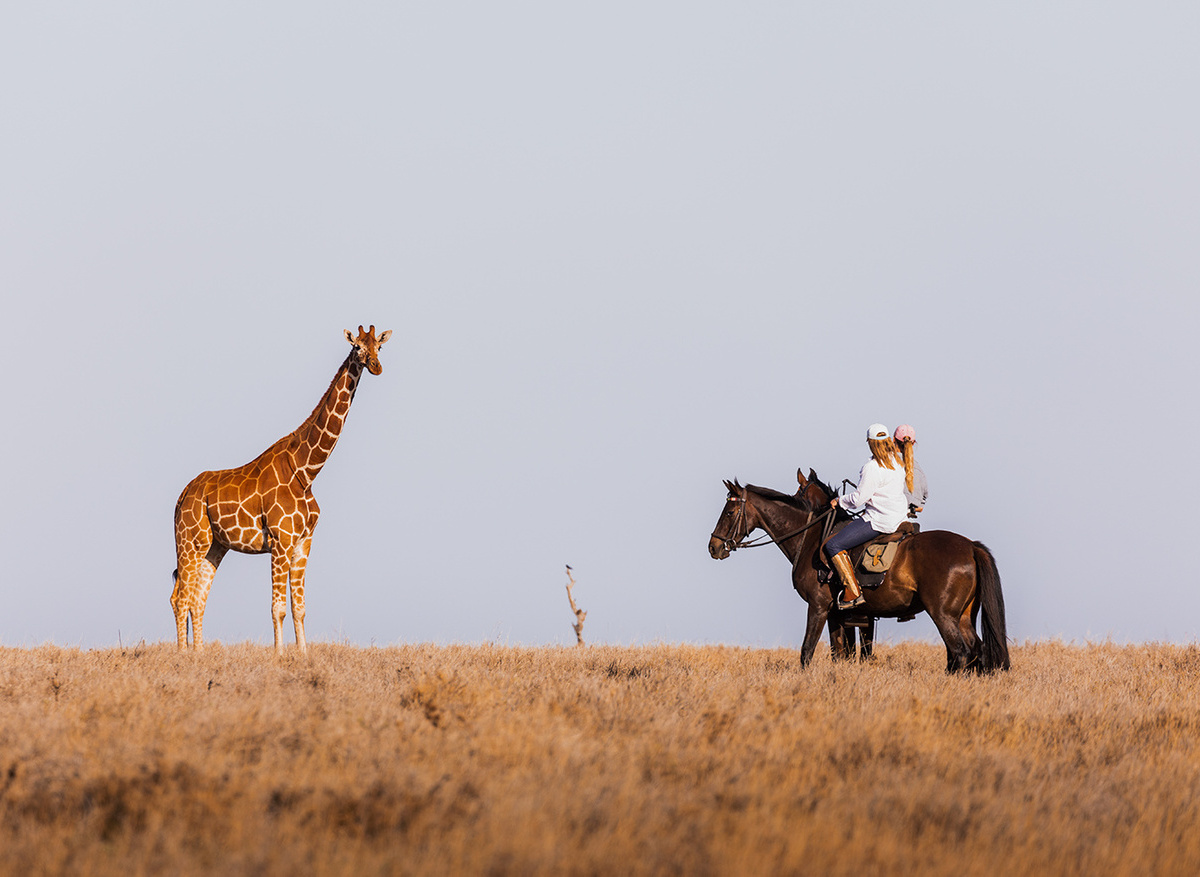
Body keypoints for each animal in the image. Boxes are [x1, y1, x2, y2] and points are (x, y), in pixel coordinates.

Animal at [171, 325, 391, 654]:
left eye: (379, 346)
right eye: (357, 348)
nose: (376, 367)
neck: (306, 470)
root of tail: (182, 496)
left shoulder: (303, 542)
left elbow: (299, 608)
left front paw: (302, 654)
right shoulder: (280, 541)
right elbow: (278, 608)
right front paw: (279, 655)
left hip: (215, 546)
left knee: (197, 599)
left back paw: (199, 654)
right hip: (190, 540)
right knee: (180, 597)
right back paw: (184, 655)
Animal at [708, 468, 1010, 673]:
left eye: (729, 512)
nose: (714, 546)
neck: (811, 536)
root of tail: (971, 546)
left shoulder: (818, 607)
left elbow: (807, 651)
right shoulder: (839, 615)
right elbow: (840, 654)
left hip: (944, 614)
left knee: (960, 653)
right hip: (964, 616)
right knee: (978, 651)